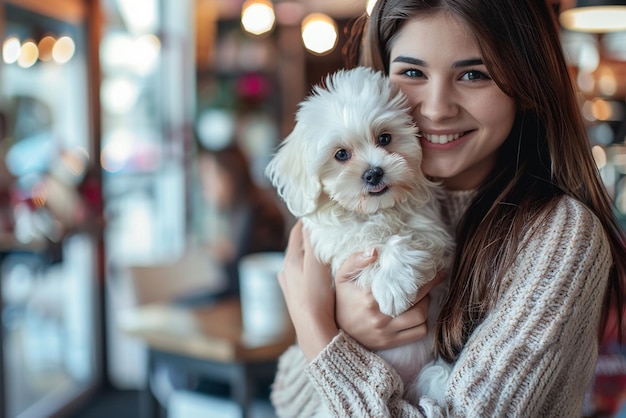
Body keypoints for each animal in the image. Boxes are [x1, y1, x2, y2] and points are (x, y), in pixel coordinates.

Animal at [266, 67, 450, 406]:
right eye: (341, 154)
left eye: (385, 138)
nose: (373, 172)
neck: (374, 211)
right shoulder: (334, 248)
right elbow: (367, 243)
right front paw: (389, 283)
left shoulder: (433, 232)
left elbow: (406, 240)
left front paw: (392, 285)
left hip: (431, 375)